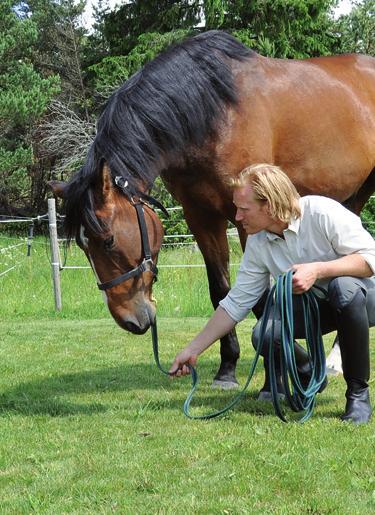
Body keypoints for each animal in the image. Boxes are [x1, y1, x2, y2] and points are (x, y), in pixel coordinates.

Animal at [50, 30, 375, 390]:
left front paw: (277, 376)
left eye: (107, 240)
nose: (130, 320)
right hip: (353, 198)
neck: (212, 111)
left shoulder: (248, 222)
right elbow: (221, 292)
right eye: (84, 246)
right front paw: (228, 368)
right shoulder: (201, 217)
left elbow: (262, 301)